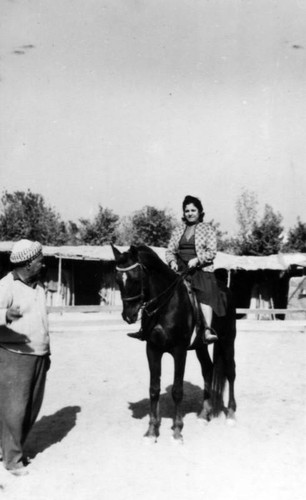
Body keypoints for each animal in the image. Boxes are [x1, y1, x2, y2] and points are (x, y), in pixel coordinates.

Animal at [112, 244, 237, 440]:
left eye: (136, 278)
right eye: (118, 280)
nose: (128, 316)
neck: (165, 305)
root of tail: (226, 290)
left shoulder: (179, 351)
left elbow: (177, 390)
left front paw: (177, 431)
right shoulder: (153, 349)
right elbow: (154, 389)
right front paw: (152, 432)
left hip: (228, 340)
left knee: (231, 372)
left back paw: (231, 415)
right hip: (200, 346)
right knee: (207, 369)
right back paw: (204, 415)